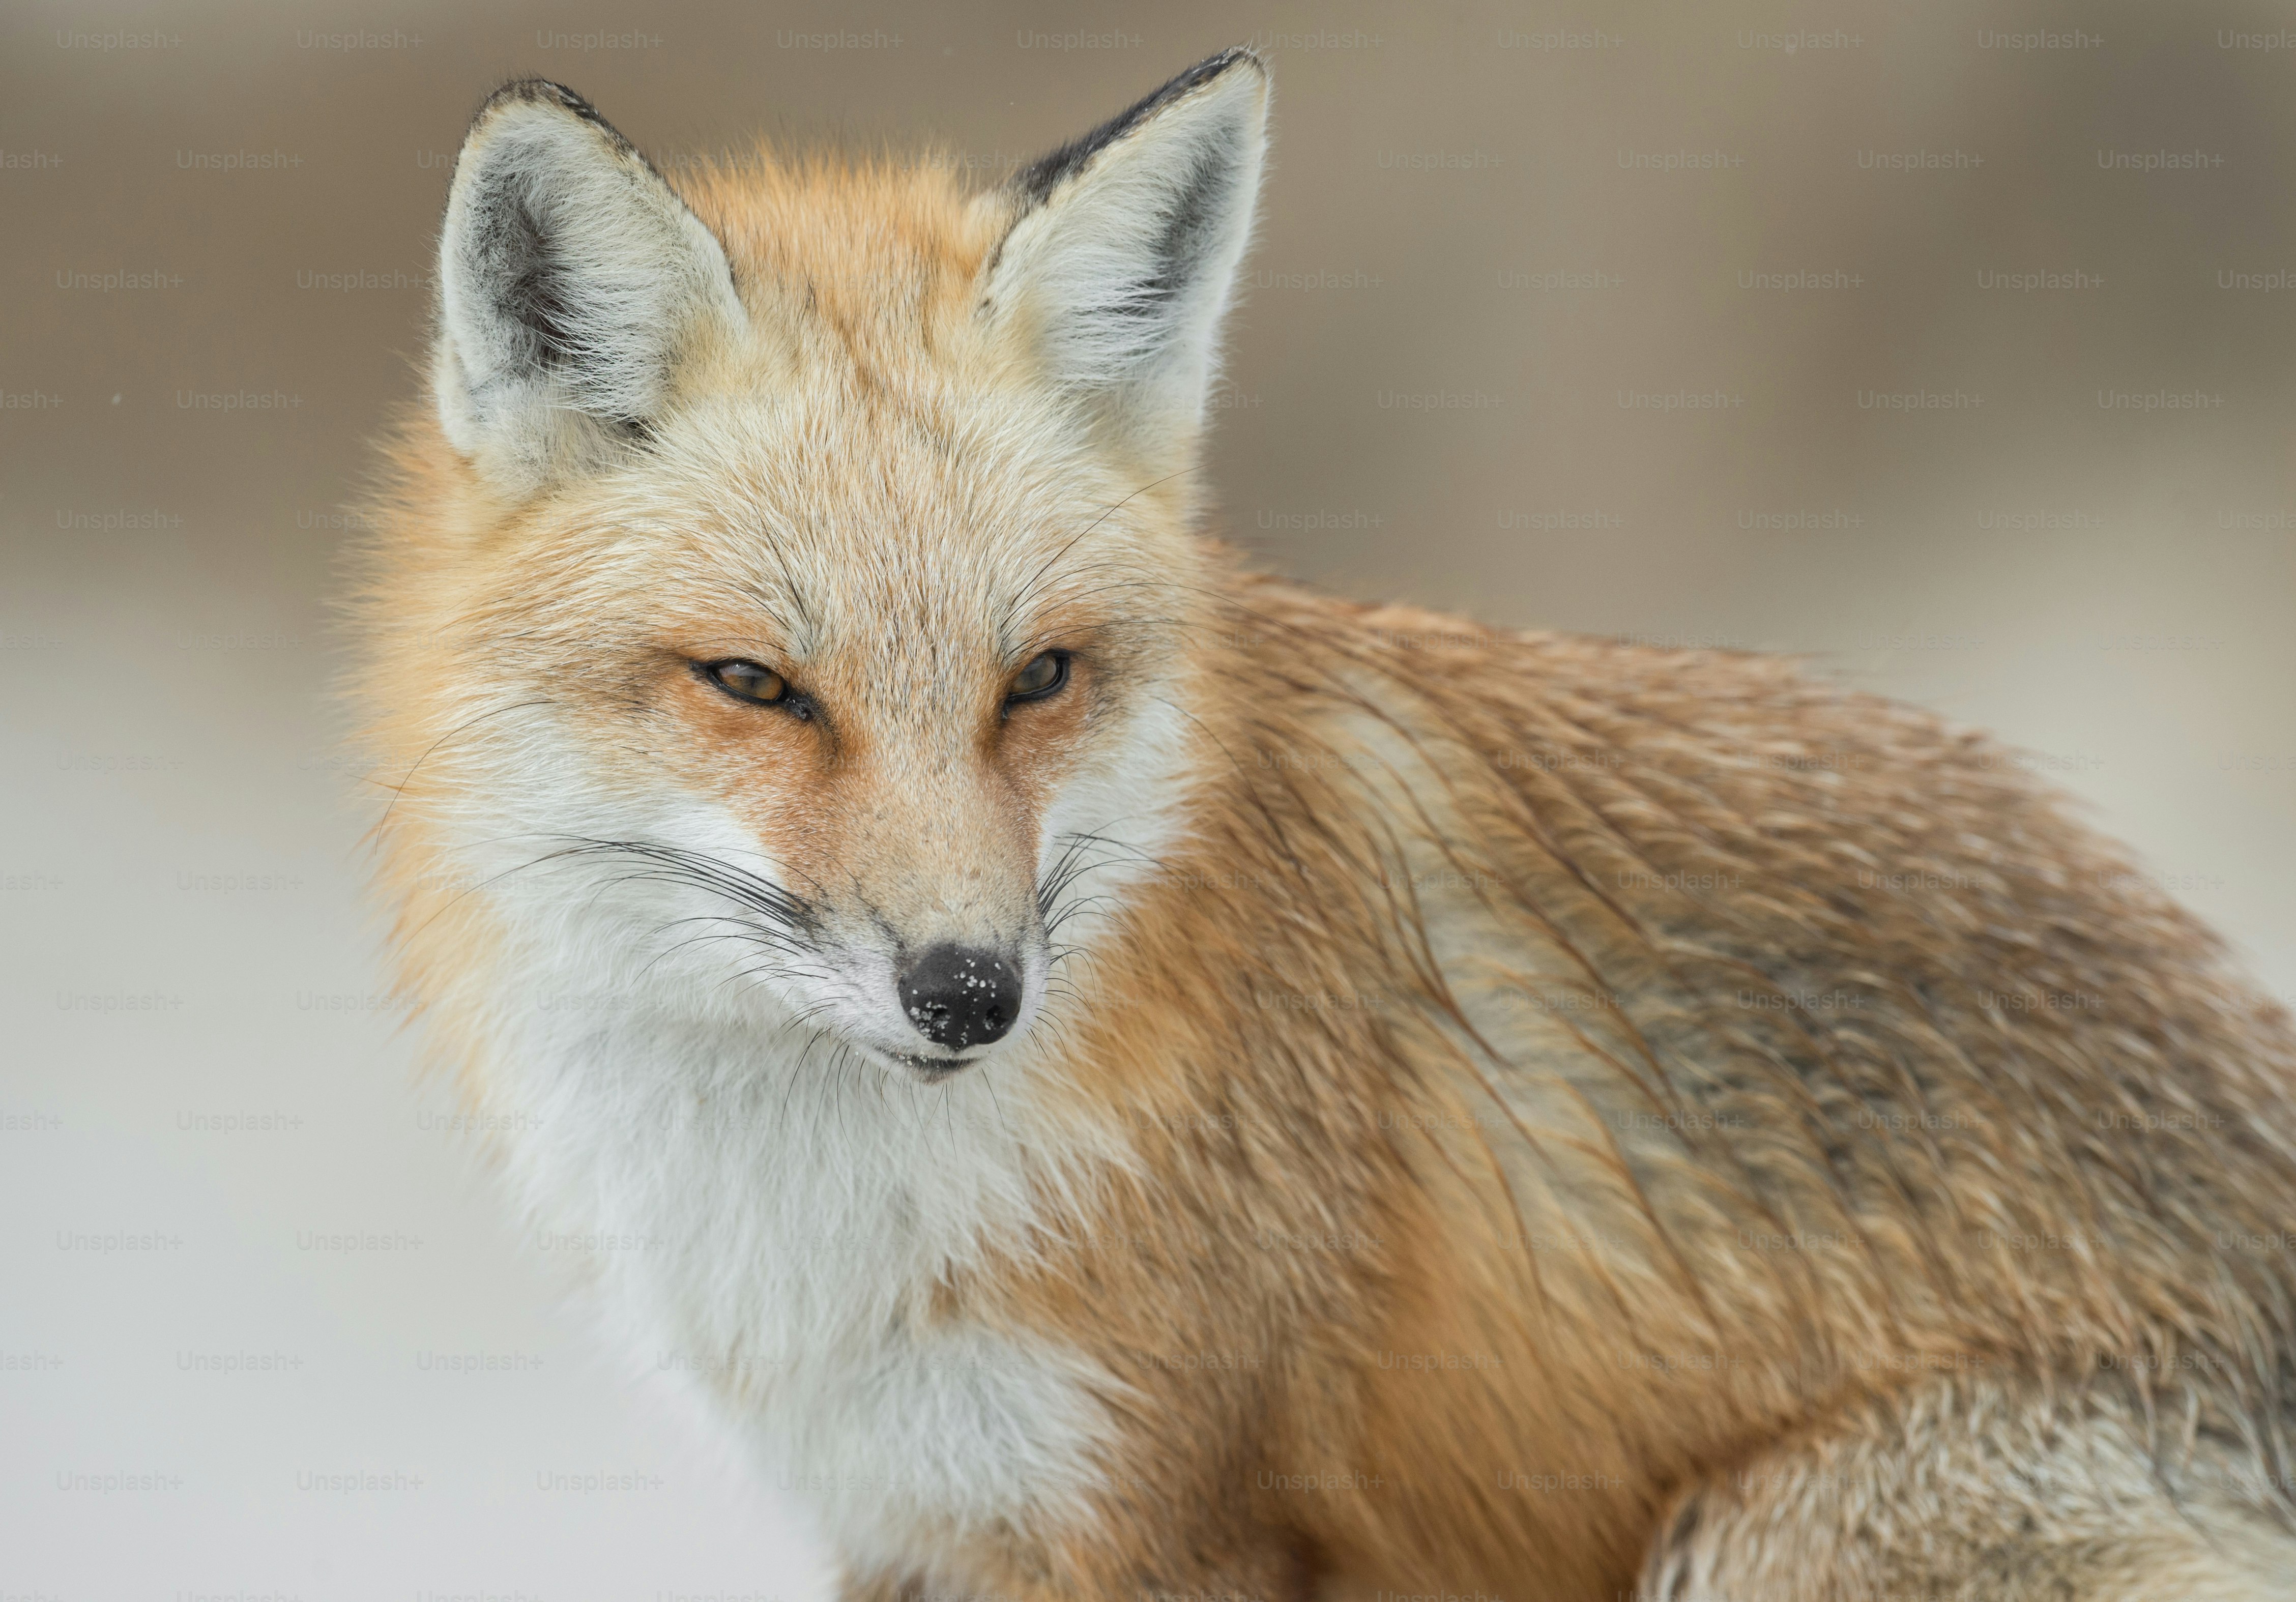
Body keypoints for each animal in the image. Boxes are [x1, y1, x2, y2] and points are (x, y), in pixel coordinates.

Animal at [350, 48, 2296, 1602]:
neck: (839, 1220)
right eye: (755, 684)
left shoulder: (1161, 1515)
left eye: (1037, 676)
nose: (973, 991)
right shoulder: (915, 1517)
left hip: (1751, 1538)